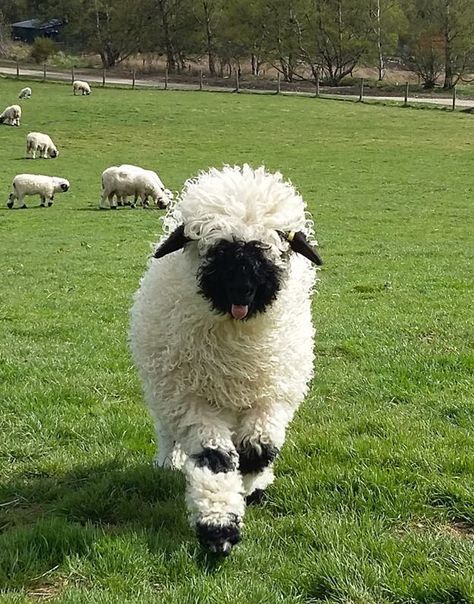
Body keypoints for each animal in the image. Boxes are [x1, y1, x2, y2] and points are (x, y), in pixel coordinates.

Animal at [129, 163, 322, 556]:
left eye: (268, 249)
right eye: (217, 249)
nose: (242, 291)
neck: (236, 346)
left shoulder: (271, 396)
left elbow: (258, 449)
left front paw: (250, 485)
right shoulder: (192, 402)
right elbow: (215, 459)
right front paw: (218, 526)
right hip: (165, 395)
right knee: (168, 433)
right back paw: (168, 462)